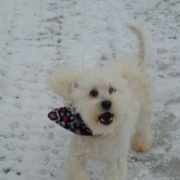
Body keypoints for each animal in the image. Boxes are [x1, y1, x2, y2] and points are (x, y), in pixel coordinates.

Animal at [48, 24, 154, 180]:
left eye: (112, 90)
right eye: (93, 93)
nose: (106, 103)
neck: (99, 133)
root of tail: (138, 66)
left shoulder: (116, 158)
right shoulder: (76, 155)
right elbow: (77, 170)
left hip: (145, 110)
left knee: (144, 127)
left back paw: (142, 142)